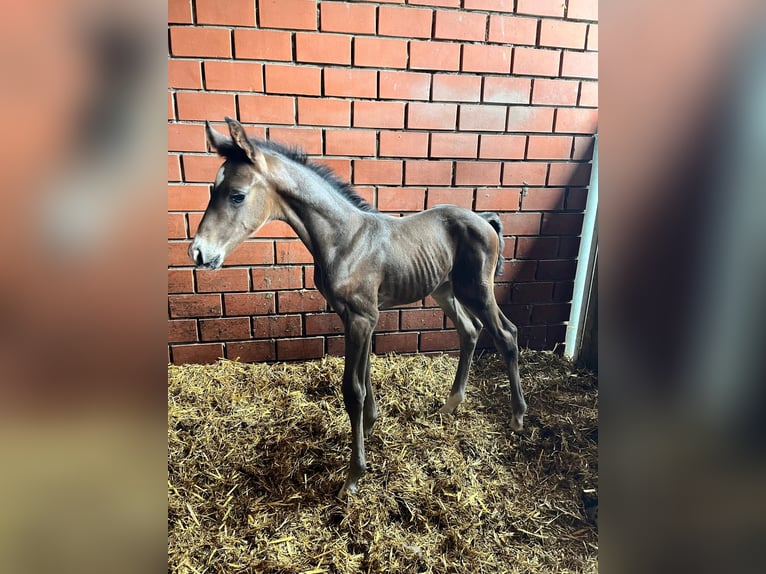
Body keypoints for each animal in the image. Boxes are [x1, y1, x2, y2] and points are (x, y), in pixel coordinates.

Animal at [192, 119, 528, 498]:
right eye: (211, 189)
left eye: (237, 195)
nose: (199, 253)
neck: (344, 239)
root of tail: (484, 219)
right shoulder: (355, 315)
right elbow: (365, 375)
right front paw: (369, 427)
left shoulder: (362, 317)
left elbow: (352, 388)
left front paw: (354, 475)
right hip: (444, 290)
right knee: (470, 330)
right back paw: (450, 404)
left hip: (477, 290)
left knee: (506, 334)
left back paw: (517, 417)